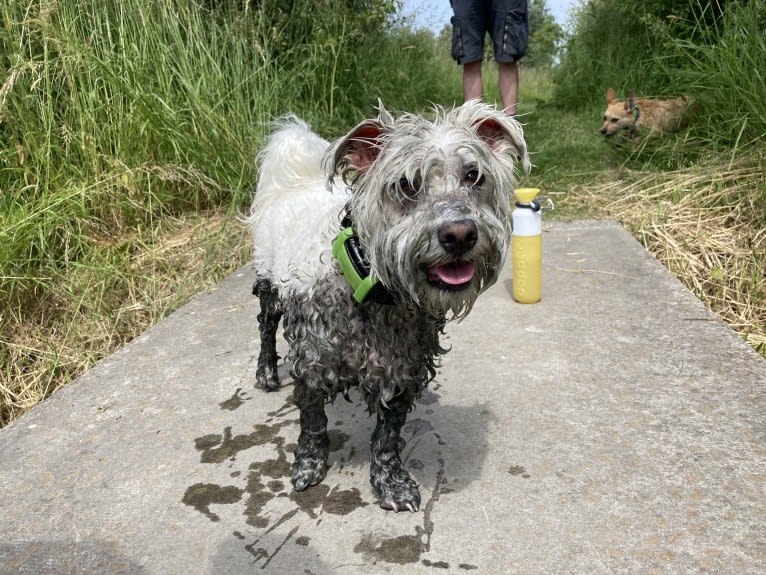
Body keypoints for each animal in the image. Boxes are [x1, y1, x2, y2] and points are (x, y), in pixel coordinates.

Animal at [249, 100, 532, 512]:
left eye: (473, 176)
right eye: (407, 184)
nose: (460, 234)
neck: (368, 290)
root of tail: (295, 180)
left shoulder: (402, 371)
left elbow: (386, 438)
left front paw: (392, 485)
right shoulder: (312, 364)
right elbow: (313, 424)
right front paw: (308, 466)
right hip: (269, 283)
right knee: (266, 326)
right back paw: (267, 371)